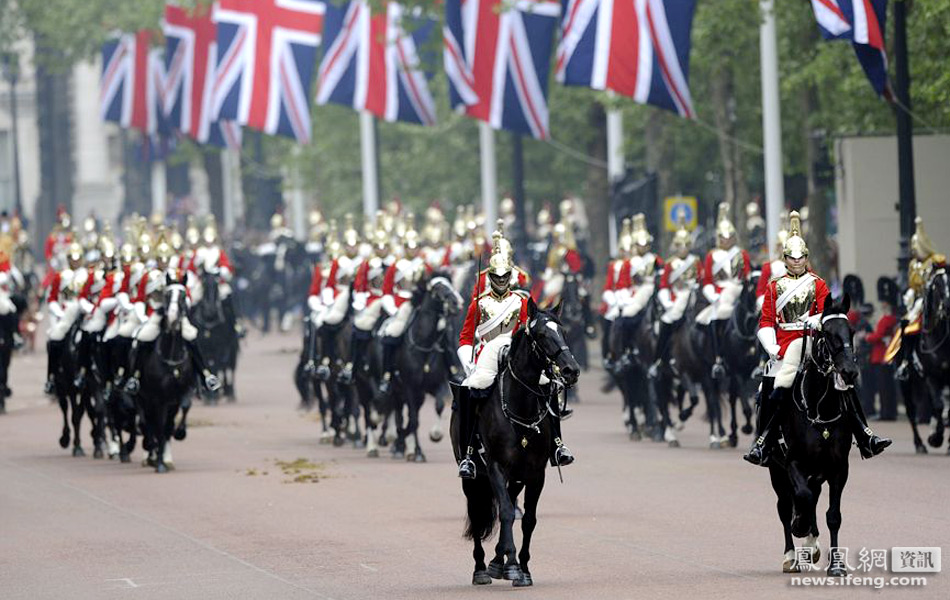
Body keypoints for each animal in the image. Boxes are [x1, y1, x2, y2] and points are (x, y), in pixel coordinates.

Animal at [452, 298, 580, 584]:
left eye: (563, 331)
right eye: (541, 334)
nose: (571, 370)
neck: (521, 406)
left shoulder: (535, 473)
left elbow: (528, 518)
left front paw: (522, 568)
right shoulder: (496, 467)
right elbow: (507, 513)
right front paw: (510, 564)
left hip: (517, 477)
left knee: (508, 503)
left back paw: (497, 561)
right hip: (474, 477)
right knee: (478, 512)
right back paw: (481, 568)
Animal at [772, 296, 864, 576]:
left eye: (851, 331)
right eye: (827, 333)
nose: (849, 372)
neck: (819, 407)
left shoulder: (838, 468)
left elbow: (833, 515)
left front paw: (836, 565)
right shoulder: (792, 463)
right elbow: (801, 498)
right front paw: (799, 526)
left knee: (811, 498)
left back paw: (811, 545)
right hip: (776, 470)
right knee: (785, 506)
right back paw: (791, 556)